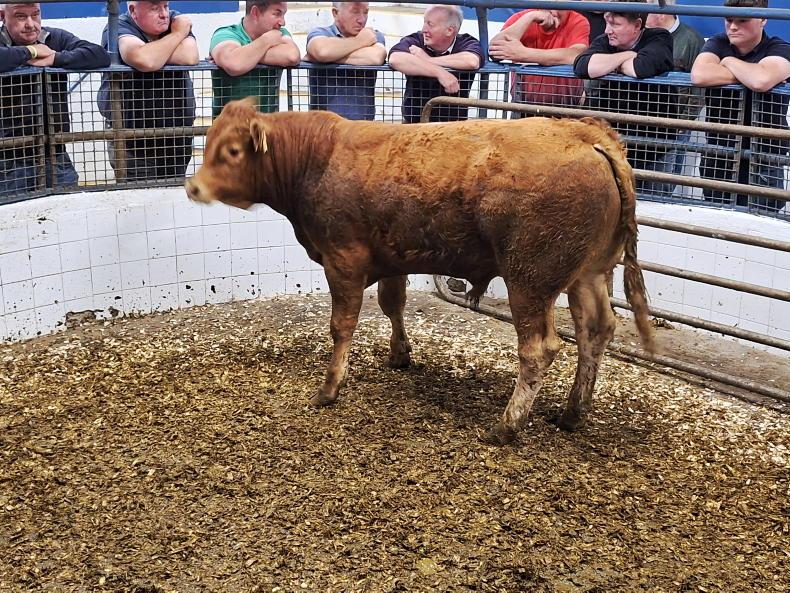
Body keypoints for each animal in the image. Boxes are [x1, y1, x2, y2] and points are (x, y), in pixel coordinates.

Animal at [185, 98, 656, 445]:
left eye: (232, 151)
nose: (193, 186)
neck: (317, 158)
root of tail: (586, 133)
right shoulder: (392, 256)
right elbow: (392, 303)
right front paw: (400, 354)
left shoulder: (343, 259)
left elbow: (342, 325)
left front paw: (329, 388)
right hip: (589, 274)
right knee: (596, 331)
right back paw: (573, 412)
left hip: (530, 279)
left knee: (539, 348)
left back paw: (507, 425)